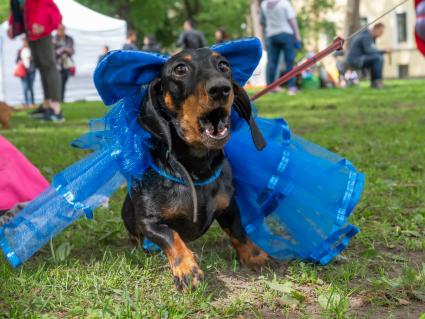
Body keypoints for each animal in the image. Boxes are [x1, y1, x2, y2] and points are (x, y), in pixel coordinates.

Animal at [121, 48, 268, 292]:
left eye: (224, 65)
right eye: (180, 69)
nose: (221, 88)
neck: (196, 168)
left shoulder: (230, 207)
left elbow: (238, 232)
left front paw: (256, 256)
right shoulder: (149, 221)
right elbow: (171, 236)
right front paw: (187, 269)